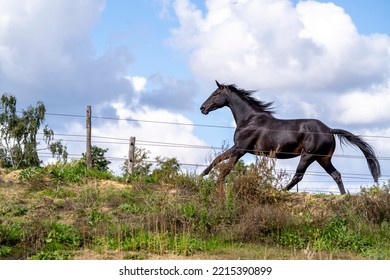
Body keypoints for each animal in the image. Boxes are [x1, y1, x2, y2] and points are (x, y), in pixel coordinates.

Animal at [200, 81, 380, 195]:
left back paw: (279, 191)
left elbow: (224, 167)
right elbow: (218, 160)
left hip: (307, 156)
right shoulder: (239, 148)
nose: (202, 108)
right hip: (323, 158)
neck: (250, 119)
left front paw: (212, 183)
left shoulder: (240, 148)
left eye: (216, 93)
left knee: (298, 176)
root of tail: (329, 130)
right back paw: (343, 197)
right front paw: (201, 176)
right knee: (336, 175)